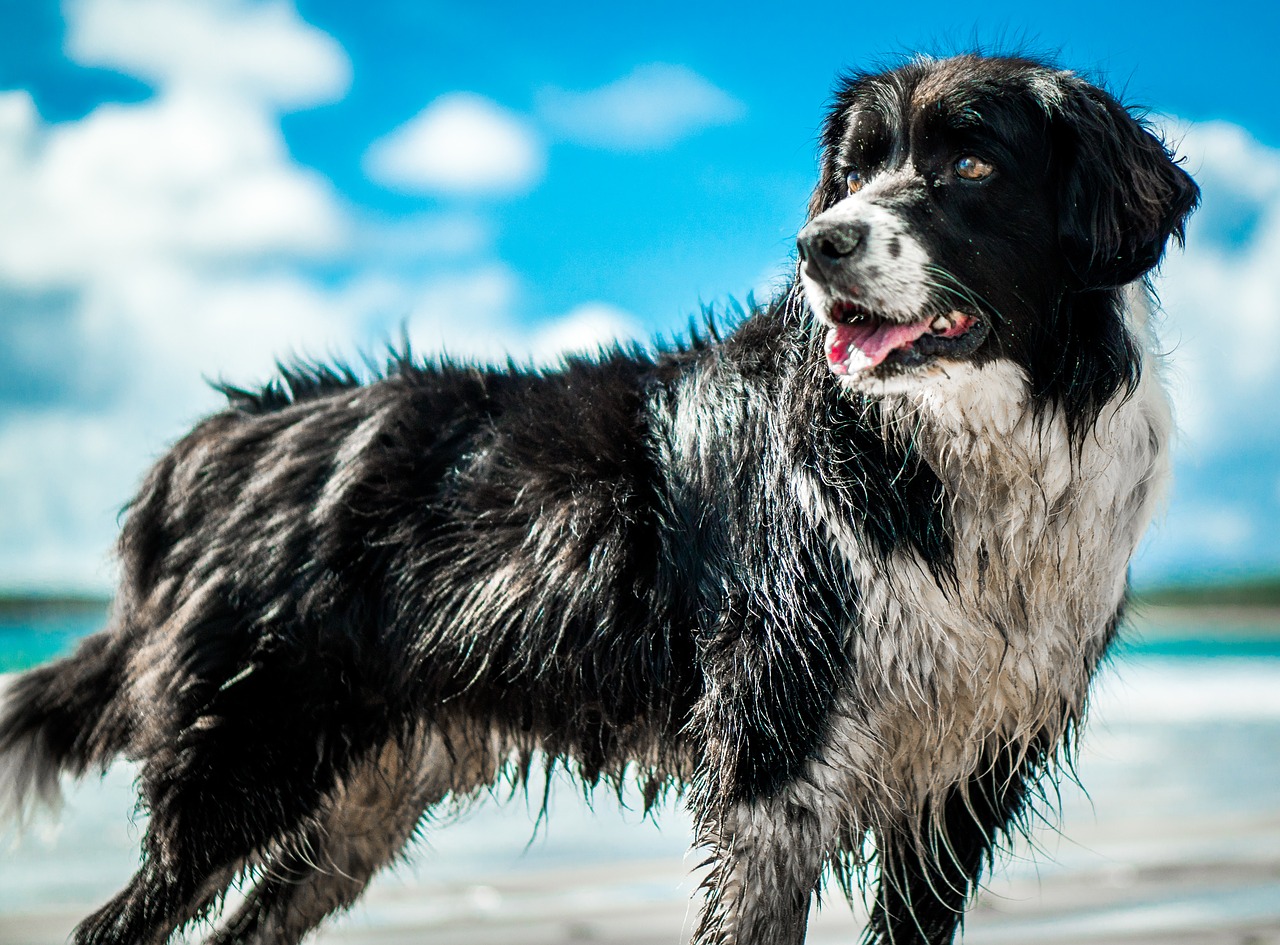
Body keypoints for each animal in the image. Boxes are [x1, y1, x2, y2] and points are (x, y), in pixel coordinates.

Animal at [2, 53, 1198, 942]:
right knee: (117, 923)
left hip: (359, 800)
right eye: (851, 173)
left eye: (970, 163)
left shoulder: (960, 788)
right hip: (246, 753)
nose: (817, 244)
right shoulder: (772, 770)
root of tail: (219, 437)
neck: (946, 447)